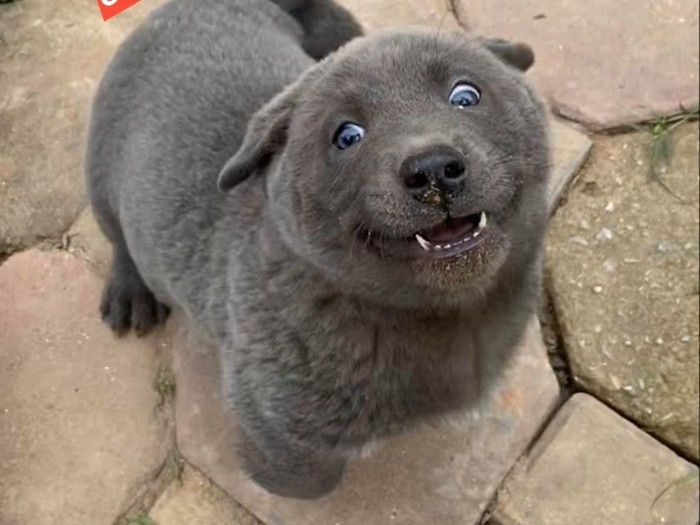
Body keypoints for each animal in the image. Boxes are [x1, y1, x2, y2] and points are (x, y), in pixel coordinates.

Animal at [86, 0, 548, 498]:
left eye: (465, 96)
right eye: (347, 136)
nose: (432, 169)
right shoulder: (273, 419)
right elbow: (306, 480)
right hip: (101, 175)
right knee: (121, 238)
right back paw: (130, 294)